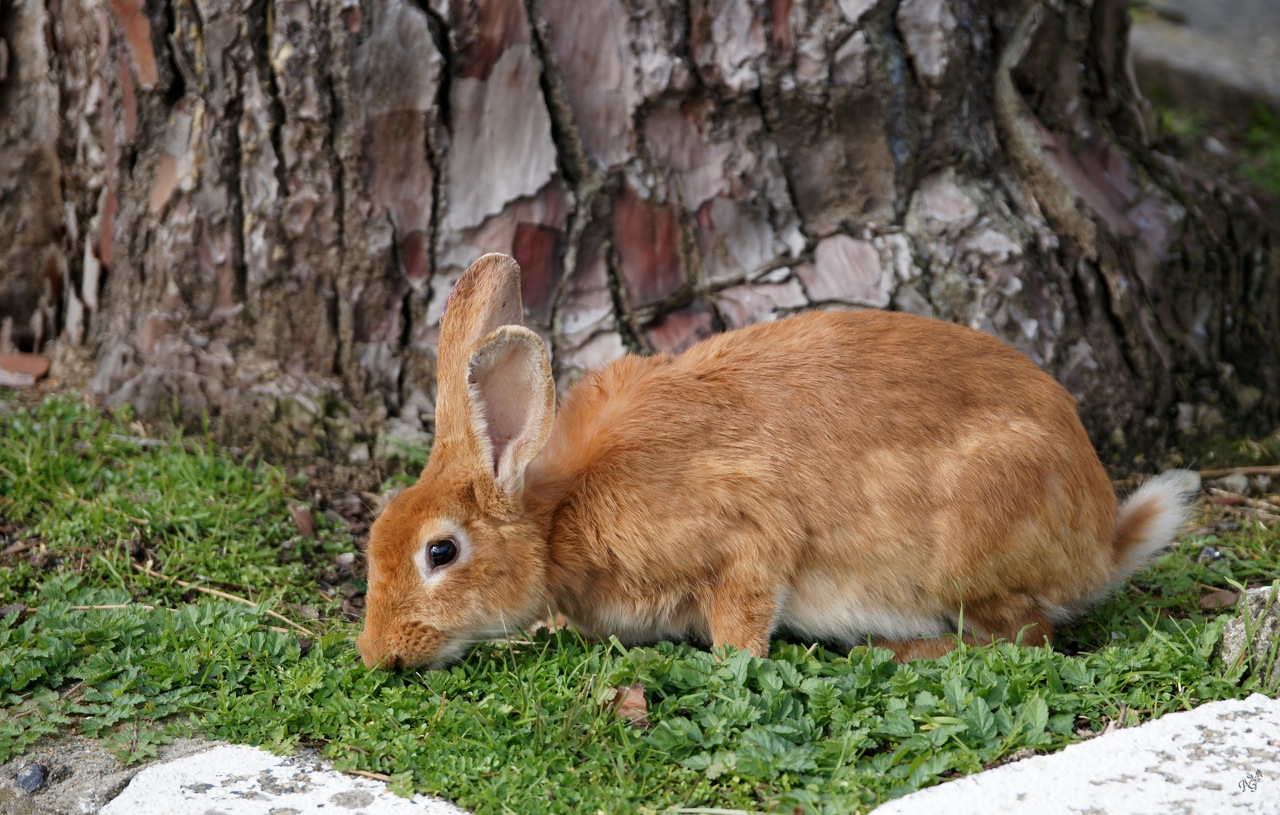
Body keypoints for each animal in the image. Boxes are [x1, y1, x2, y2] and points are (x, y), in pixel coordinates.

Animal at [358, 253, 1198, 665]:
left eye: (441, 551)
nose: (376, 655)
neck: (558, 511)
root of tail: (1099, 538)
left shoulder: (745, 537)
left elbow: (745, 610)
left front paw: (735, 667)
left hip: (972, 543)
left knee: (1026, 635)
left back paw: (900, 650)